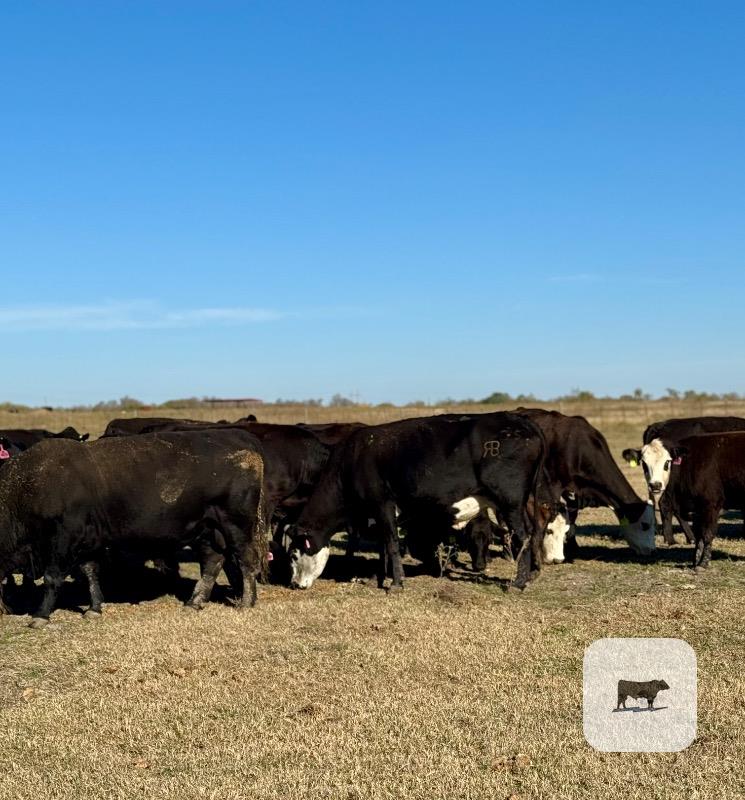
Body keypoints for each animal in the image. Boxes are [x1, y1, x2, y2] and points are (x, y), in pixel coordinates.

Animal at [0, 428, 267, 626]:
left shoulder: (63, 540)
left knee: (246, 560)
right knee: (212, 562)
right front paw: (94, 608)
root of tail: (239, 437)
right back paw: (194, 602)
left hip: (236, 525)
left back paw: (246, 602)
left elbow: (52, 577)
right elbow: (90, 572)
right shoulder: (89, 543)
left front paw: (40, 615)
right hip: (207, 529)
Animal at [285, 412, 557, 592]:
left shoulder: (383, 505)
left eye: (294, 555)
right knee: (535, 531)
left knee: (523, 536)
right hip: (527, 500)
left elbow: (391, 544)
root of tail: (522, 421)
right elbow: (384, 546)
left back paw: (518, 583)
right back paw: (532, 573)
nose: (294, 584)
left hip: (510, 502)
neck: (352, 461)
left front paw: (396, 583)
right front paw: (378, 576)